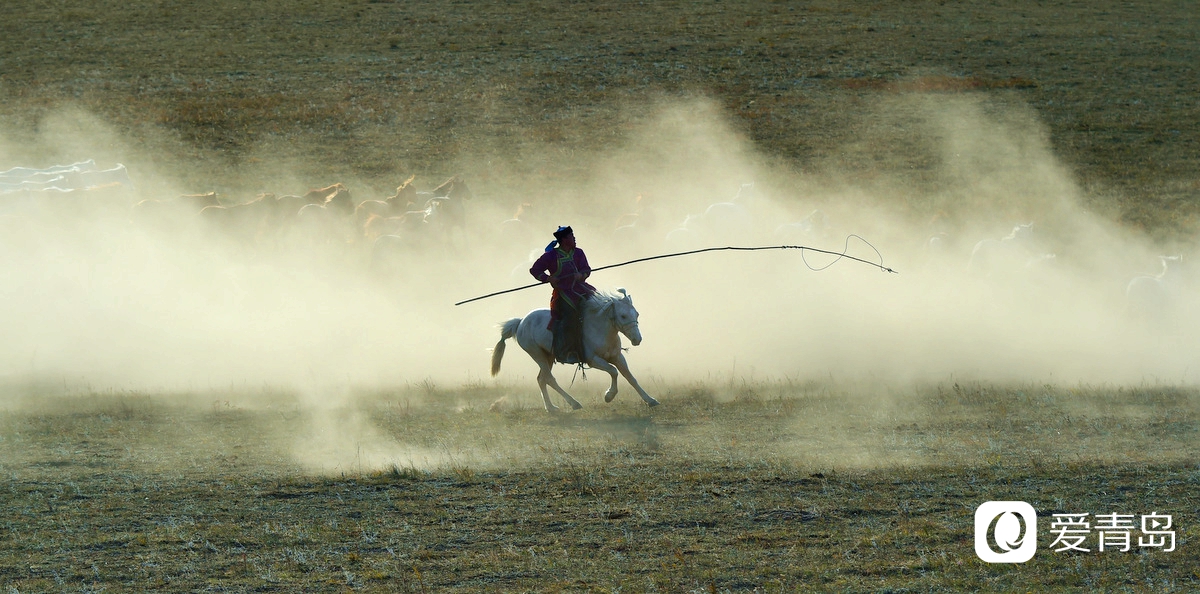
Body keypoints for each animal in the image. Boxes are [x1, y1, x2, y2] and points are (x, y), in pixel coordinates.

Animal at [489, 289, 667, 412]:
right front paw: (609, 395)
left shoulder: (617, 356)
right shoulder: (593, 360)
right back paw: (573, 403)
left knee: (541, 379)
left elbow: (630, 377)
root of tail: (520, 322)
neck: (600, 329)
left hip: (548, 356)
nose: (637, 339)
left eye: (636, 314)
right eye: (623, 316)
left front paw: (650, 400)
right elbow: (613, 371)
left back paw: (551, 408)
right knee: (549, 379)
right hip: (537, 354)